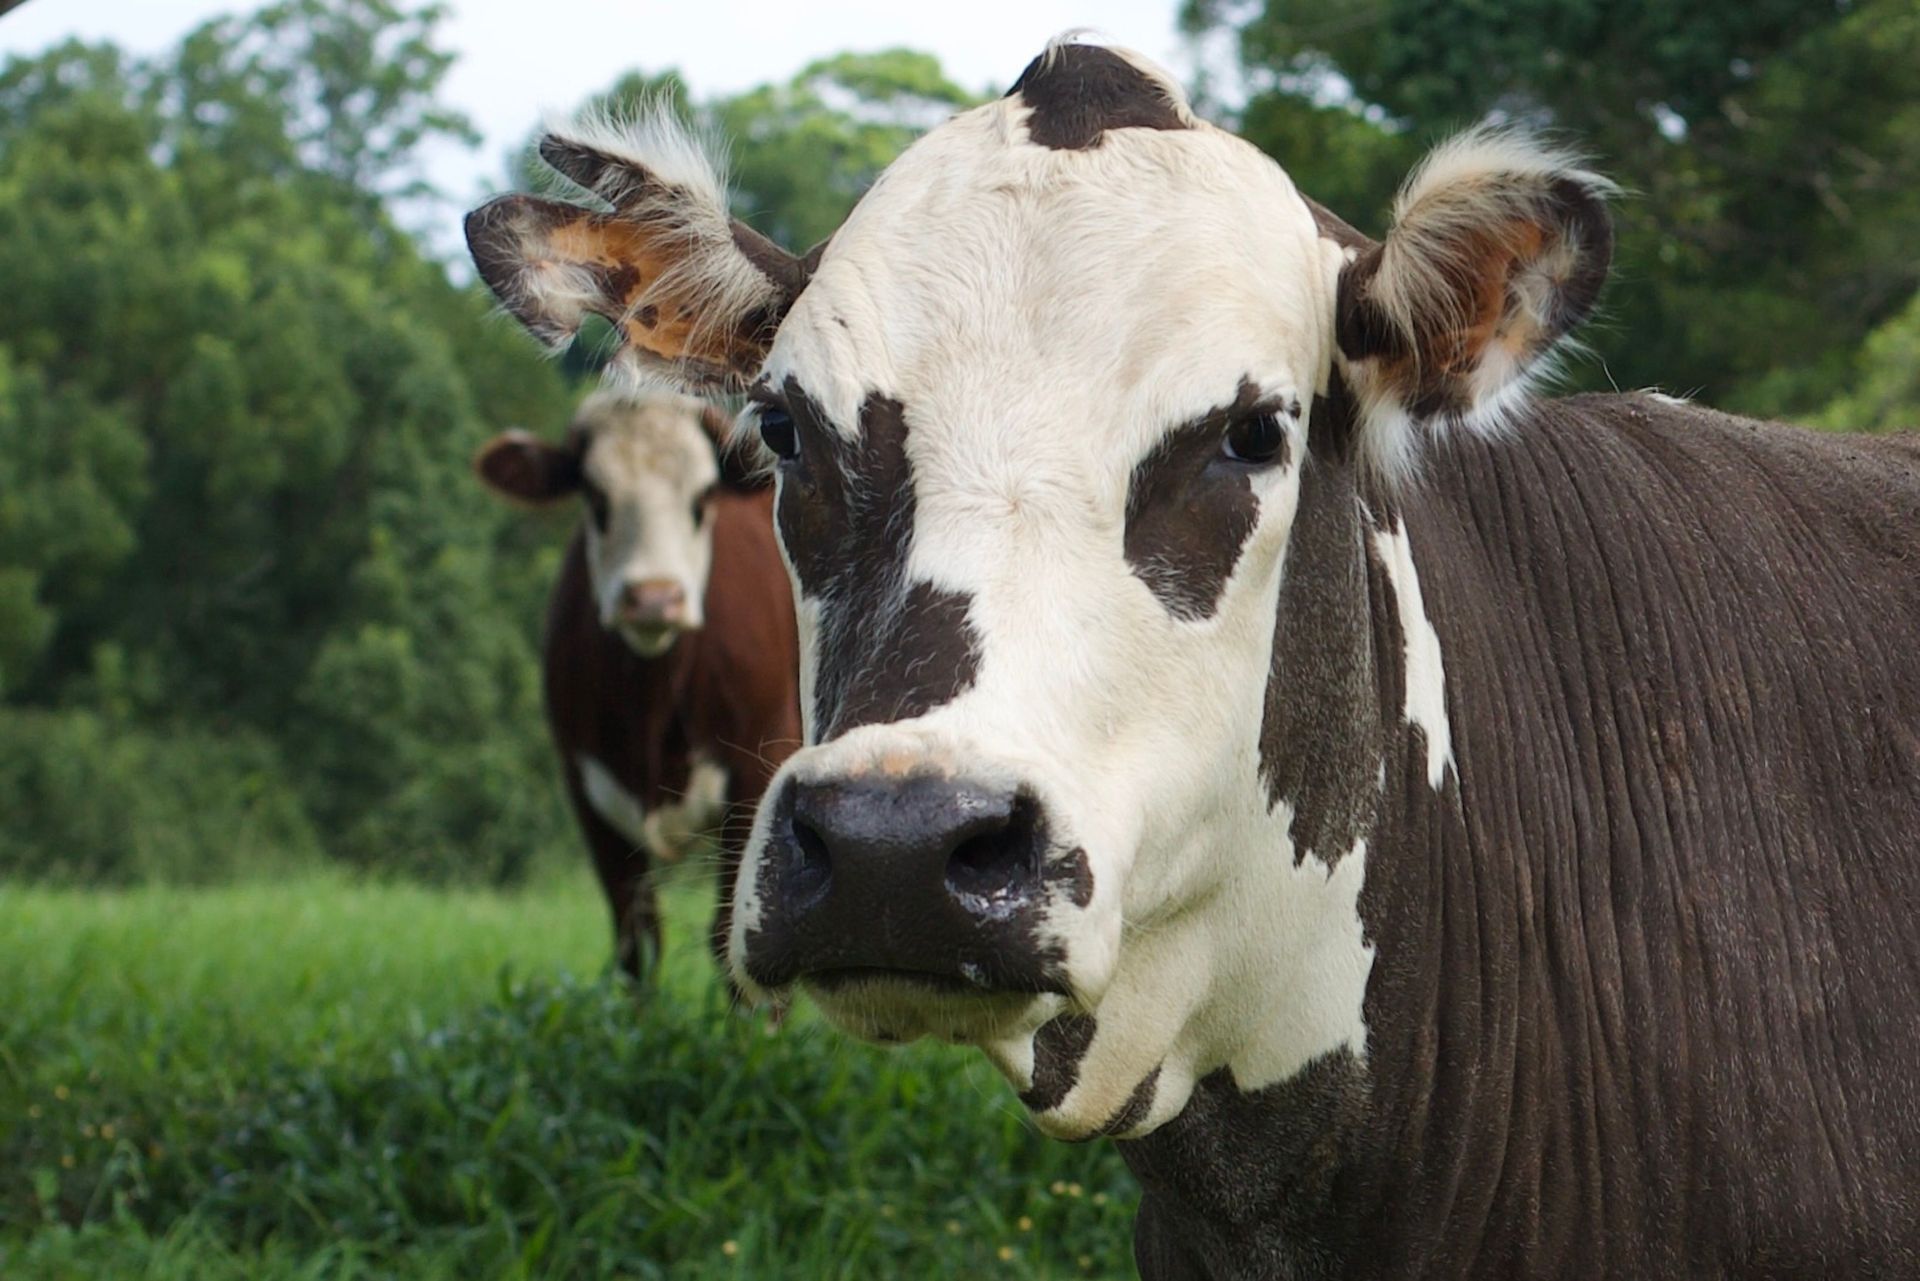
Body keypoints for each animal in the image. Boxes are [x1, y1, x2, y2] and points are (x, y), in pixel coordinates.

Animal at [474, 390, 800, 983]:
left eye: (702, 498)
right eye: (596, 497)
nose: (653, 598)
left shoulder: (759, 767)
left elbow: (735, 940)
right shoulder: (587, 787)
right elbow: (637, 941)